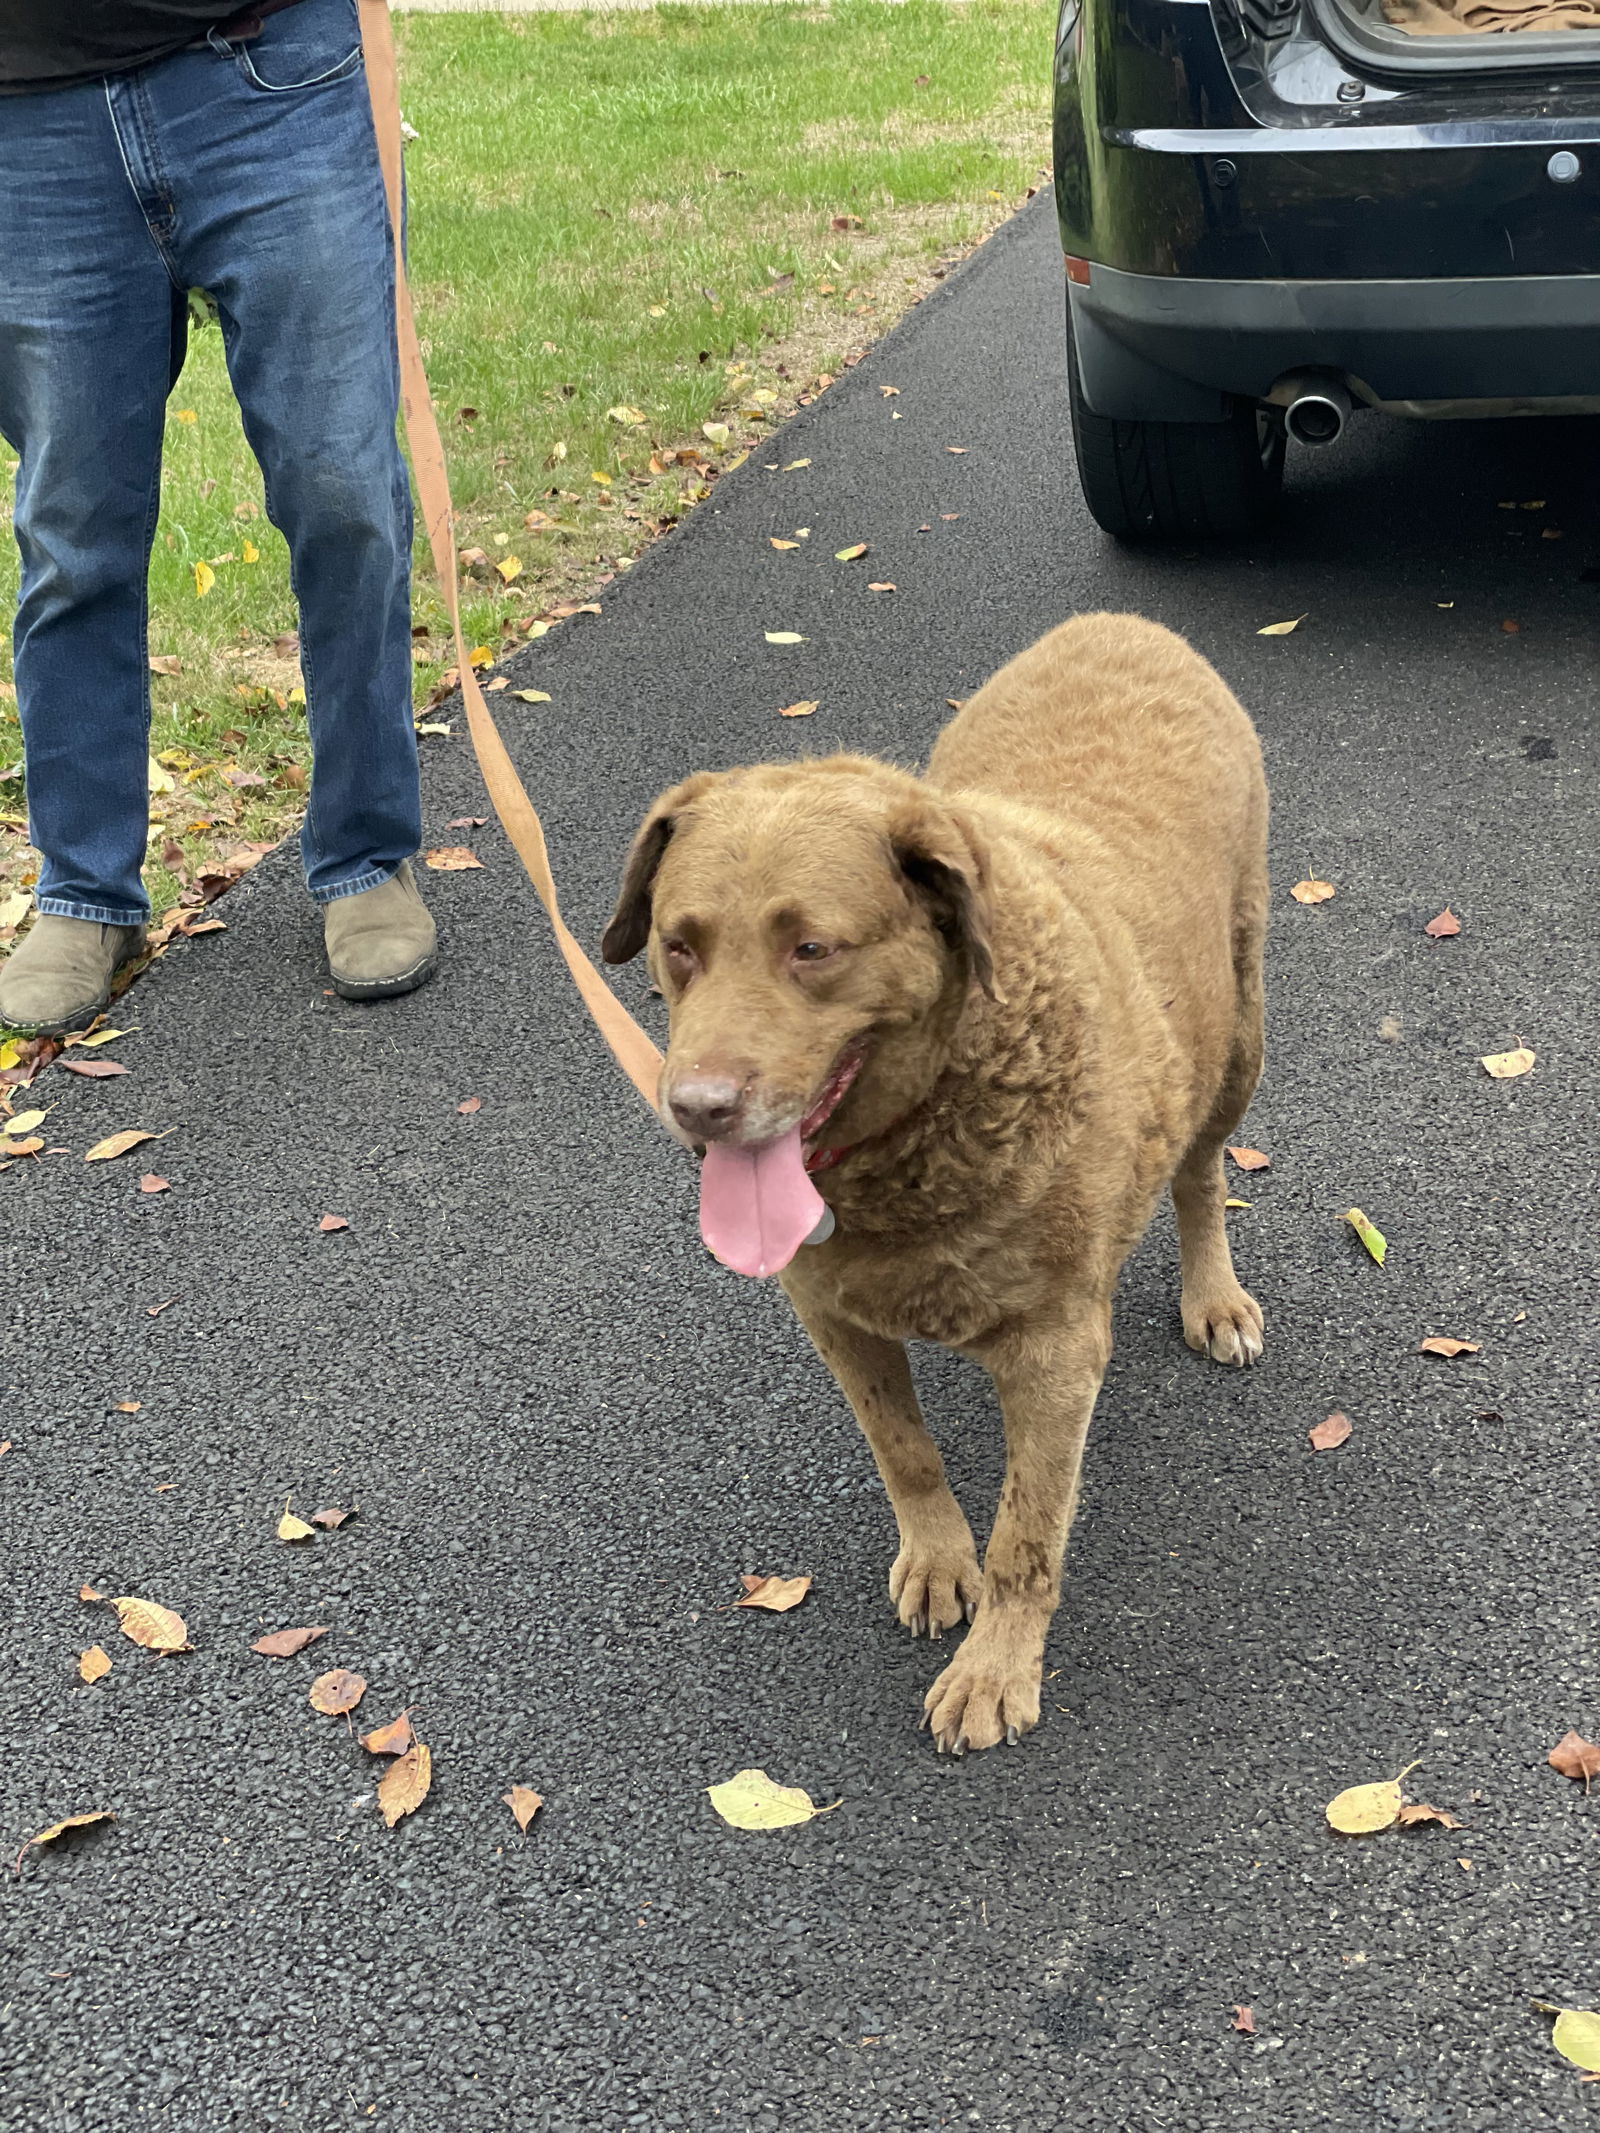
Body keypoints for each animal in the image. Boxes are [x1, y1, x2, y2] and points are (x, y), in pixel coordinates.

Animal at [605, 614, 1271, 1749]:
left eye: (812, 948)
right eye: (678, 945)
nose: (694, 1107)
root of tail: (1121, 623)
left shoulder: (1055, 1352)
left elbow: (1028, 1536)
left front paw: (996, 1666)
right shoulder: (832, 1314)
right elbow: (903, 1450)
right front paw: (936, 1555)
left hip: (1238, 1032)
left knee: (1198, 1173)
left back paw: (1212, 1294)